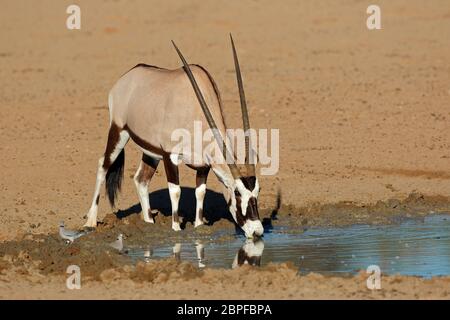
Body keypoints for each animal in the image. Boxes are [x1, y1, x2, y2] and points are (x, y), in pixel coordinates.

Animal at [83, 36, 264, 239]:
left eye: (258, 191)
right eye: (237, 193)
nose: (257, 231)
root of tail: (127, 77)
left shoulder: (203, 165)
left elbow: (200, 192)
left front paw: (198, 225)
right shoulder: (170, 155)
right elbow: (175, 191)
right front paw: (176, 228)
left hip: (151, 152)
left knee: (141, 179)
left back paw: (148, 223)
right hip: (119, 131)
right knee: (103, 165)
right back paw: (90, 221)